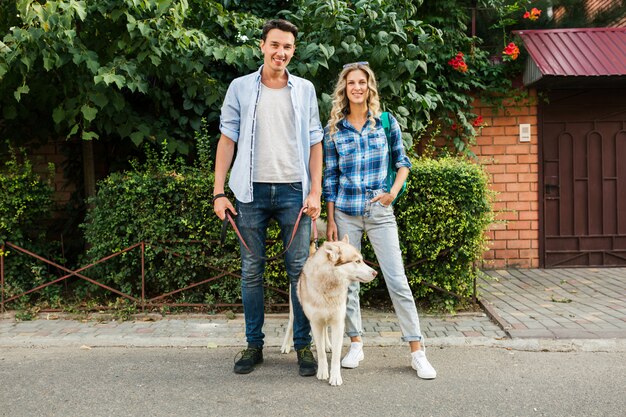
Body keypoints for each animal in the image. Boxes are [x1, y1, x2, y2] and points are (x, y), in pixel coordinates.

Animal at [298, 236, 376, 386]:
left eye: (362, 260)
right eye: (357, 261)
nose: (376, 273)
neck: (328, 287)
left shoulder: (338, 323)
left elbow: (335, 356)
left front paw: (335, 377)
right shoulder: (315, 322)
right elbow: (321, 353)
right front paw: (322, 372)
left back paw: (328, 345)